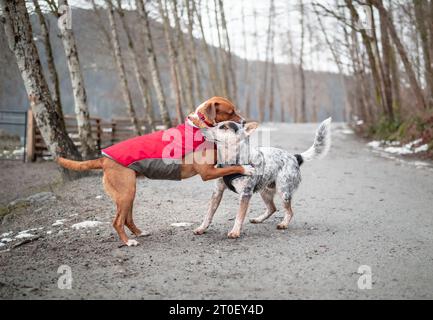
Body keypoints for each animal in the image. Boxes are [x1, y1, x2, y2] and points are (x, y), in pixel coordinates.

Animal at [58, 96, 253, 246]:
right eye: (231, 112)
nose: (244, 121)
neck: (200, 126)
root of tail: (104, 159)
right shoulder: (207, 173)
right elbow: (234, 166)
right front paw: (247, 168)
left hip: (128, 194)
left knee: (127, 218)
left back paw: (139, 233)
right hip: (126, 193)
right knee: (117, 222)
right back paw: (128, 242)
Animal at [192, 119, 330, 239]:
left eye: (224, 127)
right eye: (215, 124)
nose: (201, 129)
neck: (230, 162)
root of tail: (295, 157)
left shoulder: (245, 194)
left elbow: (239, 216)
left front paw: (235, 232)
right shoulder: (217, 192)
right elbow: (209, 214)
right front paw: (202, 228)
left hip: (283, 191)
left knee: (289, 211)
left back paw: (283, 224)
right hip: (265, 191)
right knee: (272, 208)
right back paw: (258, 219)